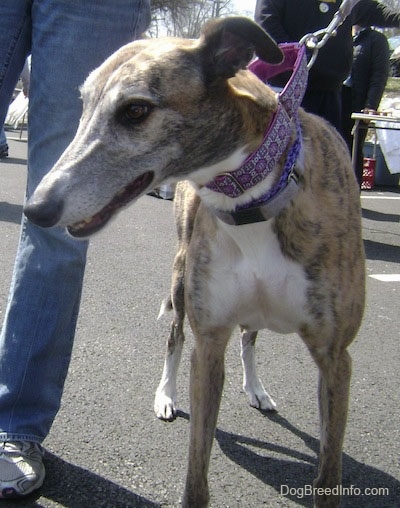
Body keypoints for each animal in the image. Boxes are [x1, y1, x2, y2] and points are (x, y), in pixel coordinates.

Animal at [23, 16, 364, 508]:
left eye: (135, 110)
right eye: (83, 105)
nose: (36, 210)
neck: (252, 196)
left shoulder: (336, 358)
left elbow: (328, 473)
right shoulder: (209, 343)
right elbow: (196, 474)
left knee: (250, 336)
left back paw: (256, 388)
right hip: (183, 283)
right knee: (176, 337)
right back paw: (166, 395)